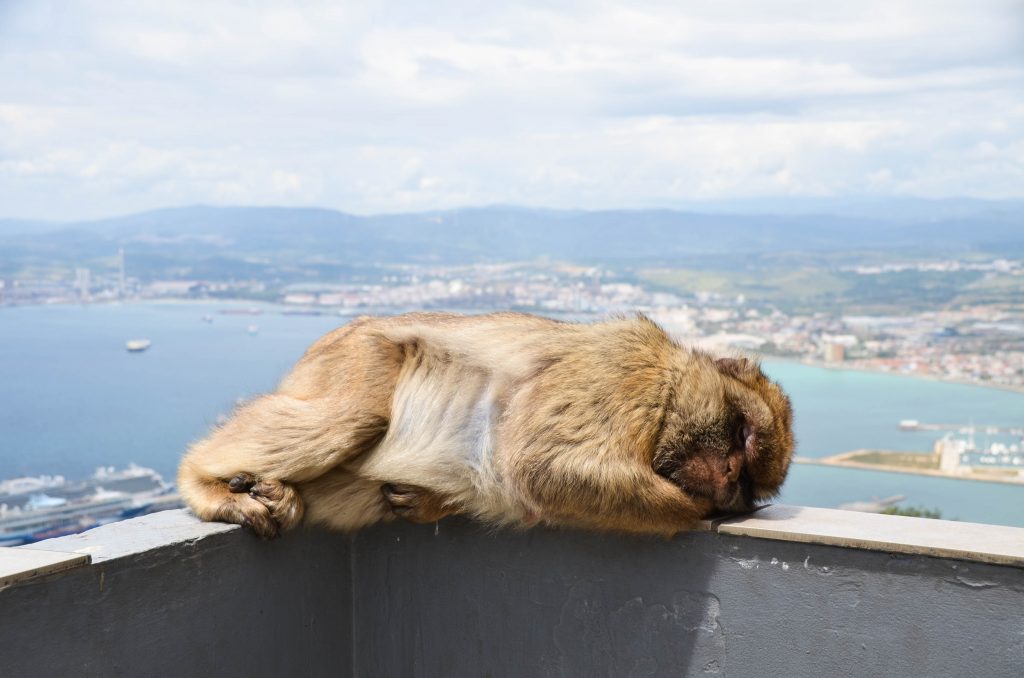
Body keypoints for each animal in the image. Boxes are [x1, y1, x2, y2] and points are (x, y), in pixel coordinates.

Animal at [178, 313, 790, 540]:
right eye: (742, 434)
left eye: (745, 482)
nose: (728, 475)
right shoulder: (626, 372)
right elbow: (541, 465)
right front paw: (695, 512)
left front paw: (427, 502)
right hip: (360, 356)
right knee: (349, 419)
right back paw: (202, 481)